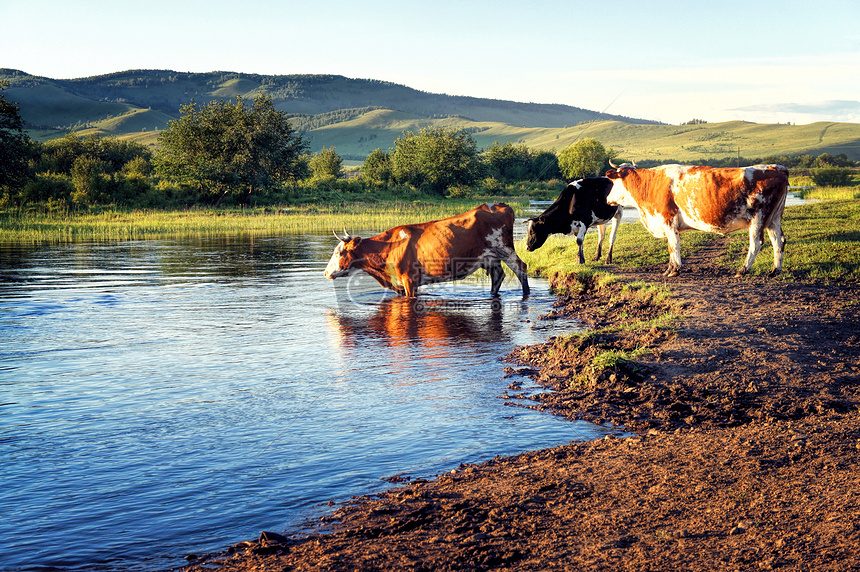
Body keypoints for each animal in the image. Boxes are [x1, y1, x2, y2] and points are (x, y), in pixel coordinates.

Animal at [322, 202, 528, 300]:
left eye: (338, 253)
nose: (325, 273)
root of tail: (500, 205)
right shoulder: (399, 284)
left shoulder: (410, 280)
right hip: (490, 257)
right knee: (498, 276)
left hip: (504, 249)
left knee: (521, 268)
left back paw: (526, 294)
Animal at [600, 162, 788, 278]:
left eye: (613, 181)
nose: (607, 199)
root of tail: (776, 167)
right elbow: (671, 246)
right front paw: (669, 269)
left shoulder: (668, 218)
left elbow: (674, 245)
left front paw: (675, 270)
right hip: (773, 219)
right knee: (778, 241)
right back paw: (775, 270)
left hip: (758, 217)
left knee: (756, 243)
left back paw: (742, 270)